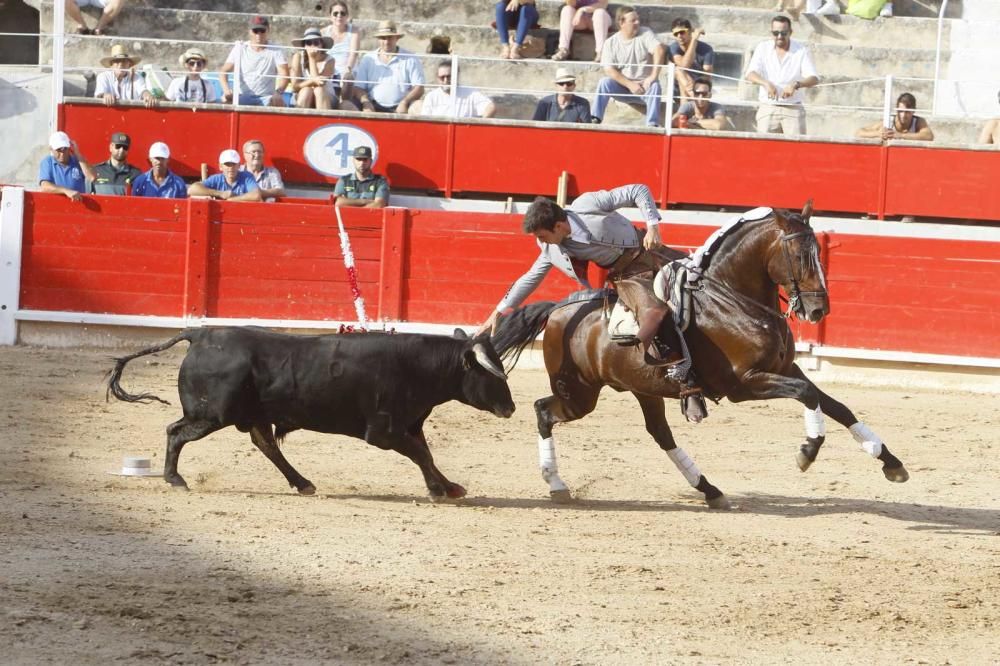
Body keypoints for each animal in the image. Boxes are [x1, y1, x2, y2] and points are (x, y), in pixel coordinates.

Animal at [107, 326, 516, 498]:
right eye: (492, 373)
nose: (511, 407)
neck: (418, 367)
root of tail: (201, 334)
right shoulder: (384, 432)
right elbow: (421, 456)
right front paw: (438, 490)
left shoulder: (410, 426)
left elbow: (426, 454)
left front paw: (450, 487)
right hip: (210, 416)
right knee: (176, 432)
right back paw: (174, 478)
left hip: (249, 416)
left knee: (266, 445)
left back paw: (303, 483)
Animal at [490, 205, 908, 506]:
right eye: (801, 254)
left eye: (819, 250)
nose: (819, 310)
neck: (733, 299)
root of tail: (560, 310)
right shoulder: (743, 384)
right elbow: (809, 398)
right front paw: (807, 451)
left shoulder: (787, 368)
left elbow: (836, 406)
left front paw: (890, 462)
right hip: (579, 393)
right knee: (543, 412)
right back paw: (556, 483)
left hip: (641, 389)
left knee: (660, 434)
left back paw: (710, 490)